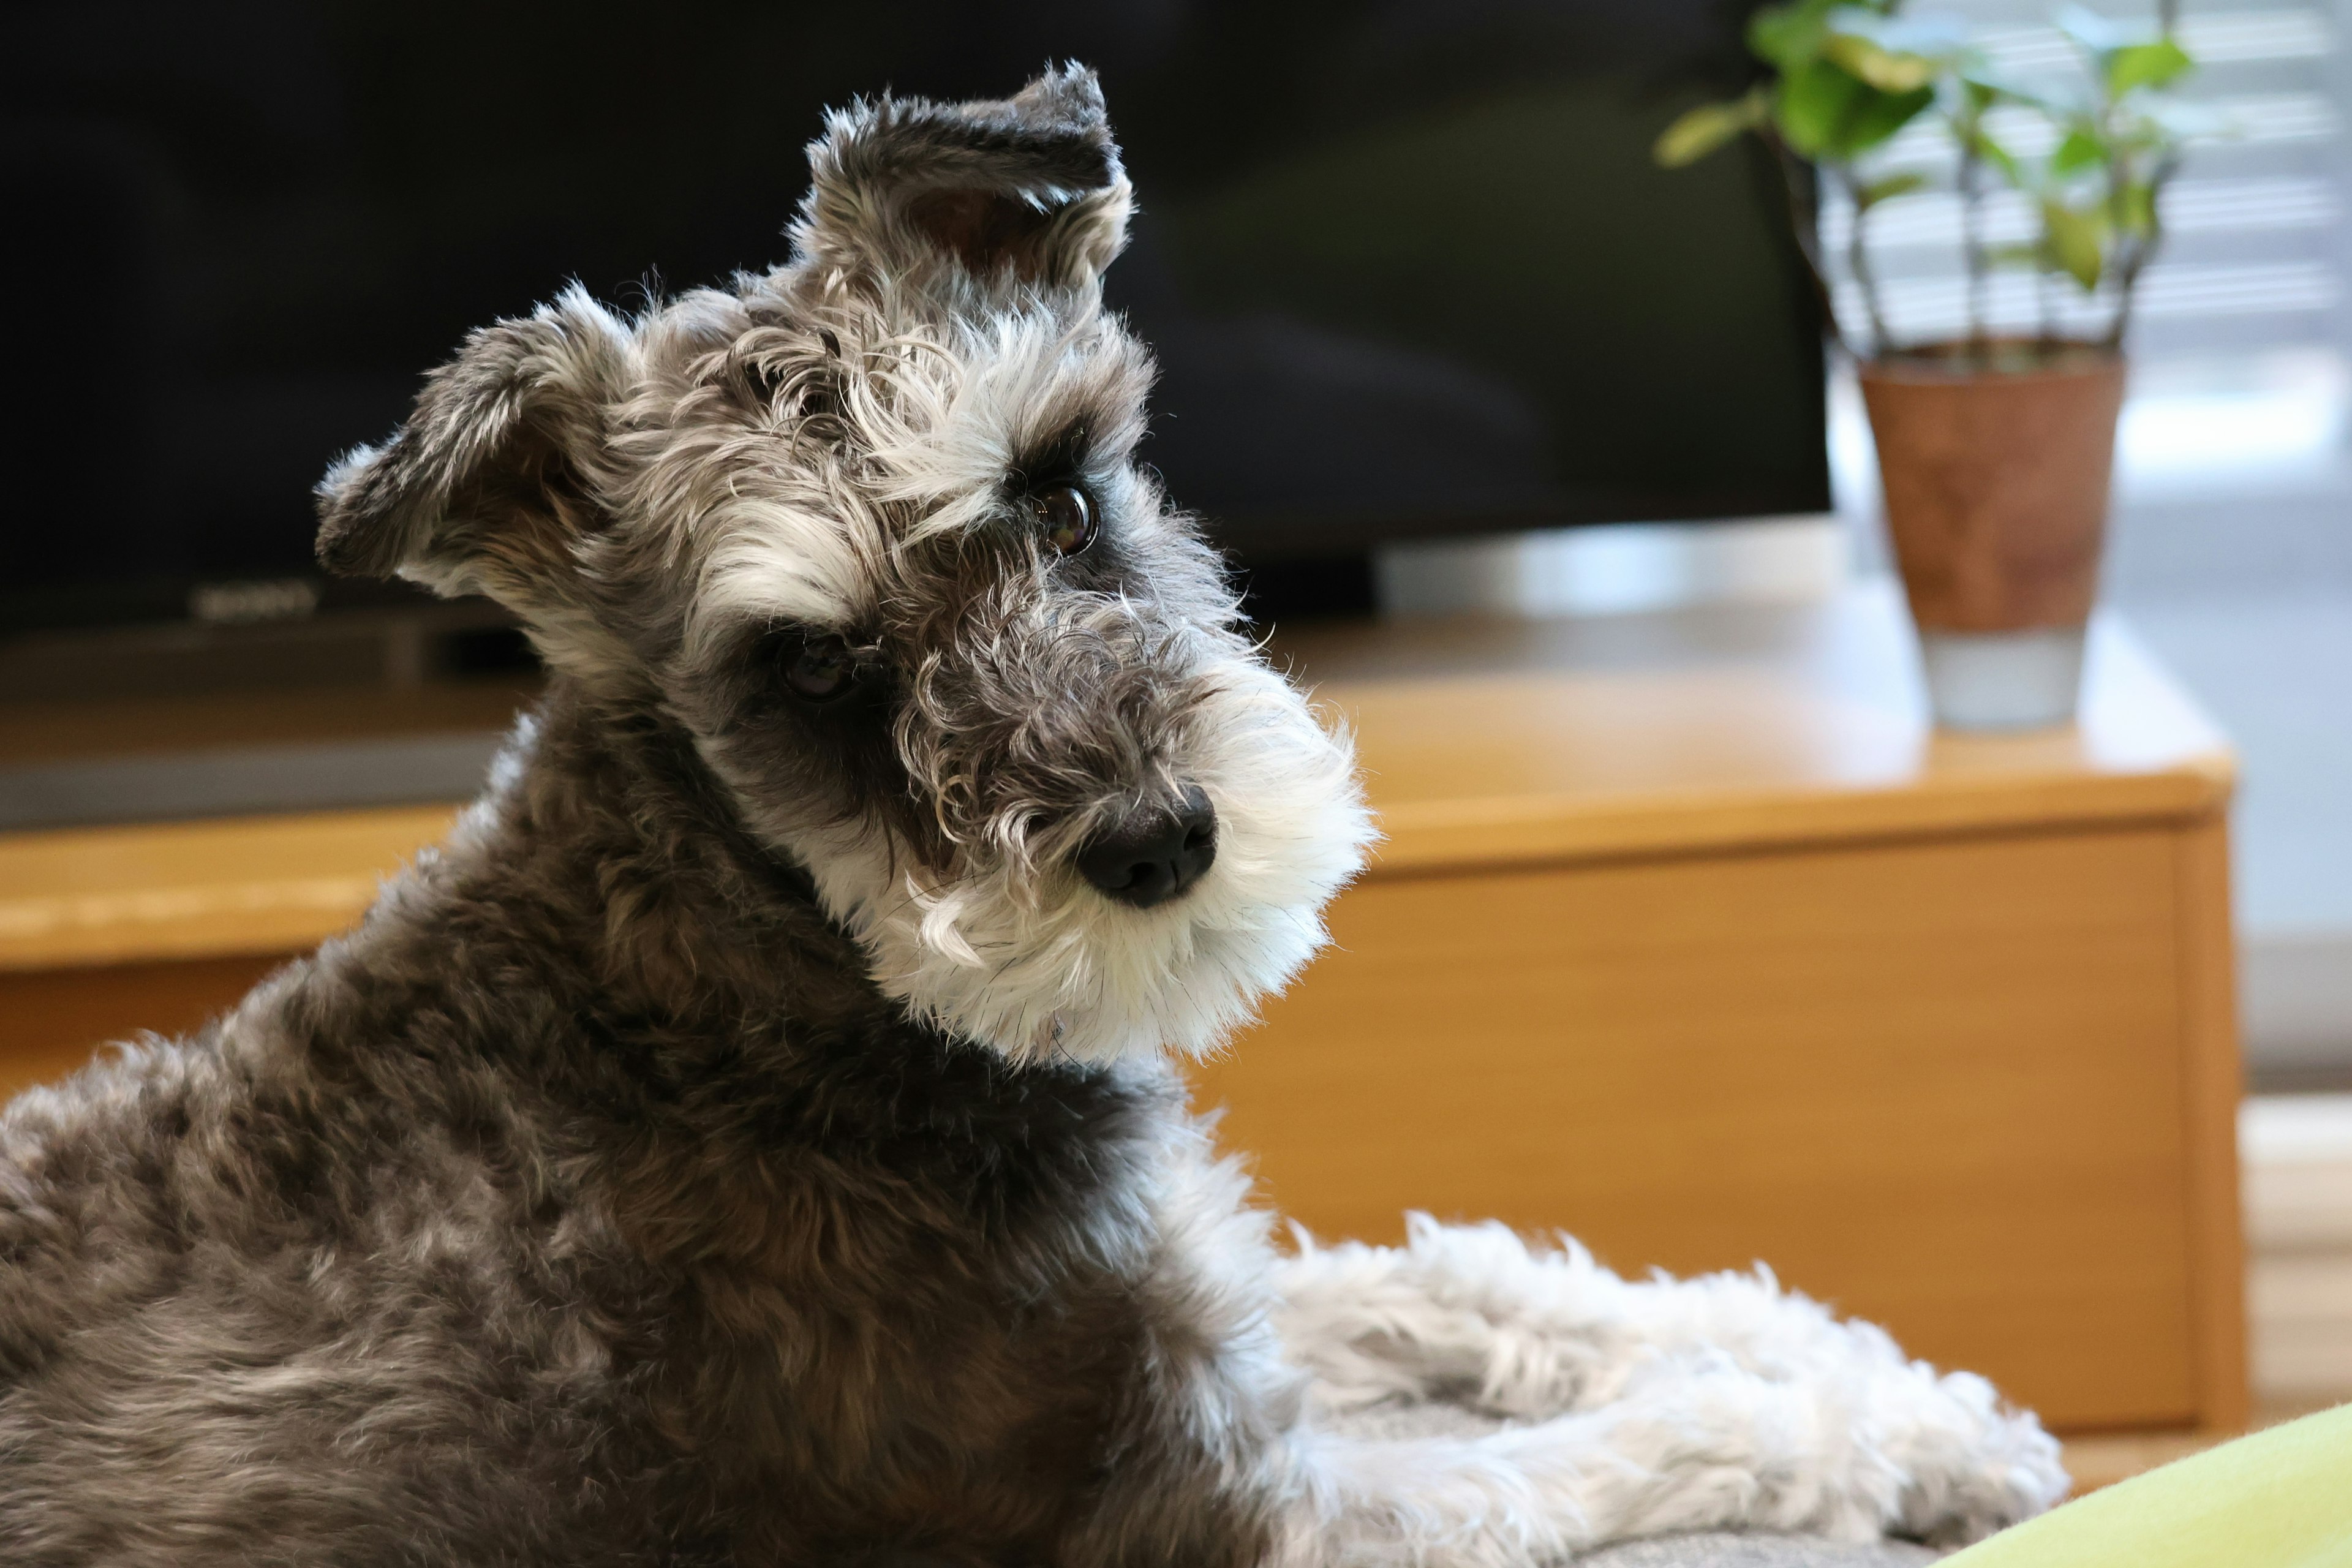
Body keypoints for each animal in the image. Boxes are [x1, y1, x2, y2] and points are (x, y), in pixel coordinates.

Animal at [0, 70, 2060, 1568]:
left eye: (1063, 492)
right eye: (811, 670)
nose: (1156, 840)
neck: (729, 977)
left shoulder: (1198, 1300)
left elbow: (1472, 1275)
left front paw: (1921, 1404)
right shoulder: (1238, 1511)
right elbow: (1634, 1442)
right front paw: (1820, 1423)